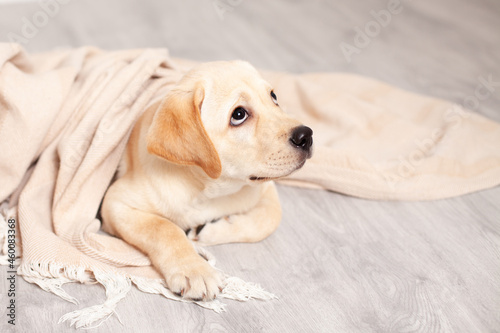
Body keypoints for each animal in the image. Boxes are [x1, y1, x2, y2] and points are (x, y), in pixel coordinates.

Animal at [100, 59, 312, 300]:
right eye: (239, 115)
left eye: (273, 96)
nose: (306, 136)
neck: (206, 188)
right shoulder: (115, 203)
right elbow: (163, 228)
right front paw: (194, 270)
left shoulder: (265, 187)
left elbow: (269, 218)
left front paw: (211, 230)